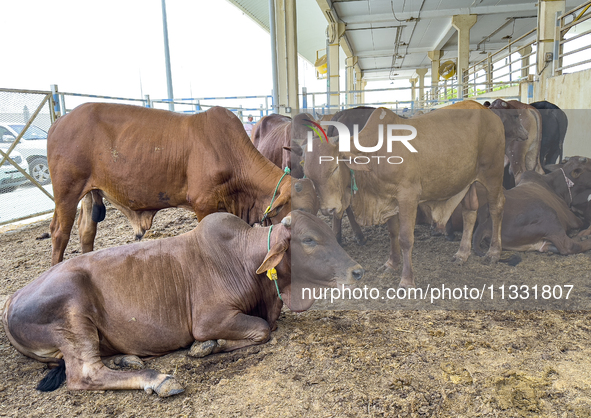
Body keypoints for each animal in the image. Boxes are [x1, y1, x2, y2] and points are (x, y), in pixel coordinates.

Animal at [3, 211, 366, 396]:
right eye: (309, 239)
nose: (358, 271)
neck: (243, 258)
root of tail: (11, 301)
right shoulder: (210, 319)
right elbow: (262, 329)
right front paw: (208, 346)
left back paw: (127, 359)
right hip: (73, 313)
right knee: (85, 374)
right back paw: (158, 379)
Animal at [47, 103, 292, 264]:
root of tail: (58, 121)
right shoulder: (204, 204)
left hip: (90, 192)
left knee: (86, 231)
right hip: (67, 192)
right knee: (60, 233)